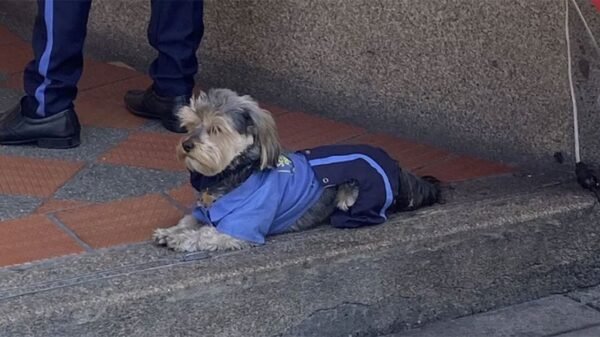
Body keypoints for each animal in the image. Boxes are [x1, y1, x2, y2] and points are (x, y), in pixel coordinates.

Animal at [152, 88, 438, 251]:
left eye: (216, 129)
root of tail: (397, 166)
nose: (186, 145)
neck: (236, 174)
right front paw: (171, 231)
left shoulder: (240, 229)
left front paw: (183, 239)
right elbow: (189, 220)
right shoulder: (204, 211)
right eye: (190, 124)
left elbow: (207, 234)